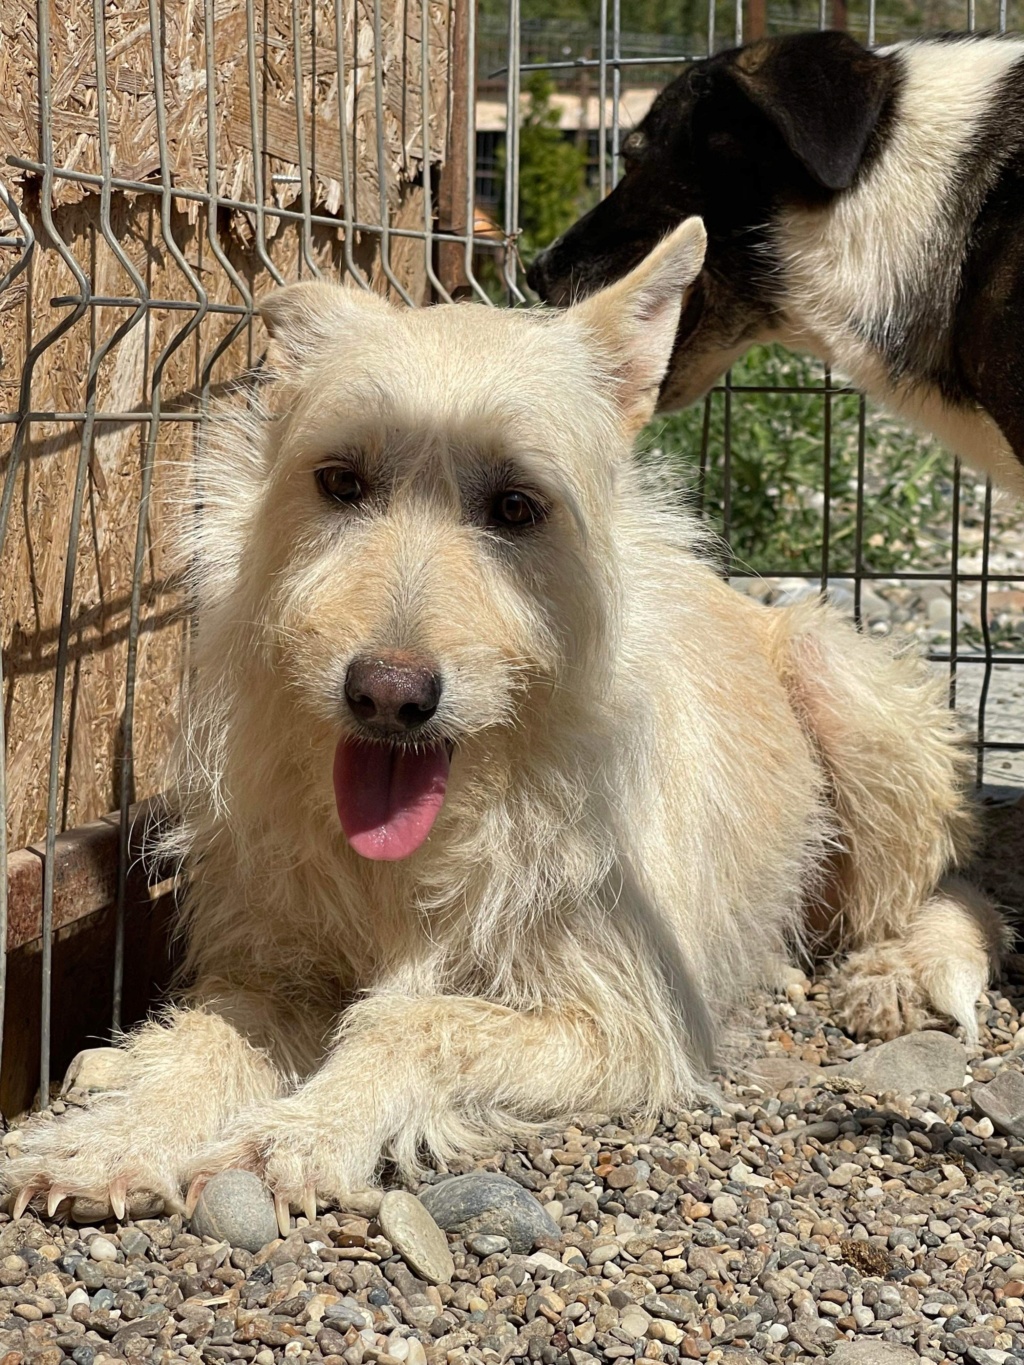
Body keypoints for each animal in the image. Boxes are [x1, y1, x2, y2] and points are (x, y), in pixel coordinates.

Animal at [2, 221, 1010, 1228]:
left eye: (517, 506)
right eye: (340, 481)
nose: (387, 694)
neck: (430, 844)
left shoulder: (626, 1022)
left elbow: (415, 1022)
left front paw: (297, 1134)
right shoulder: (274, 969)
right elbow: (209, 1036)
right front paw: (111, 1137)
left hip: (836, 675)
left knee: (948, 886)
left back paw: (897, 969)